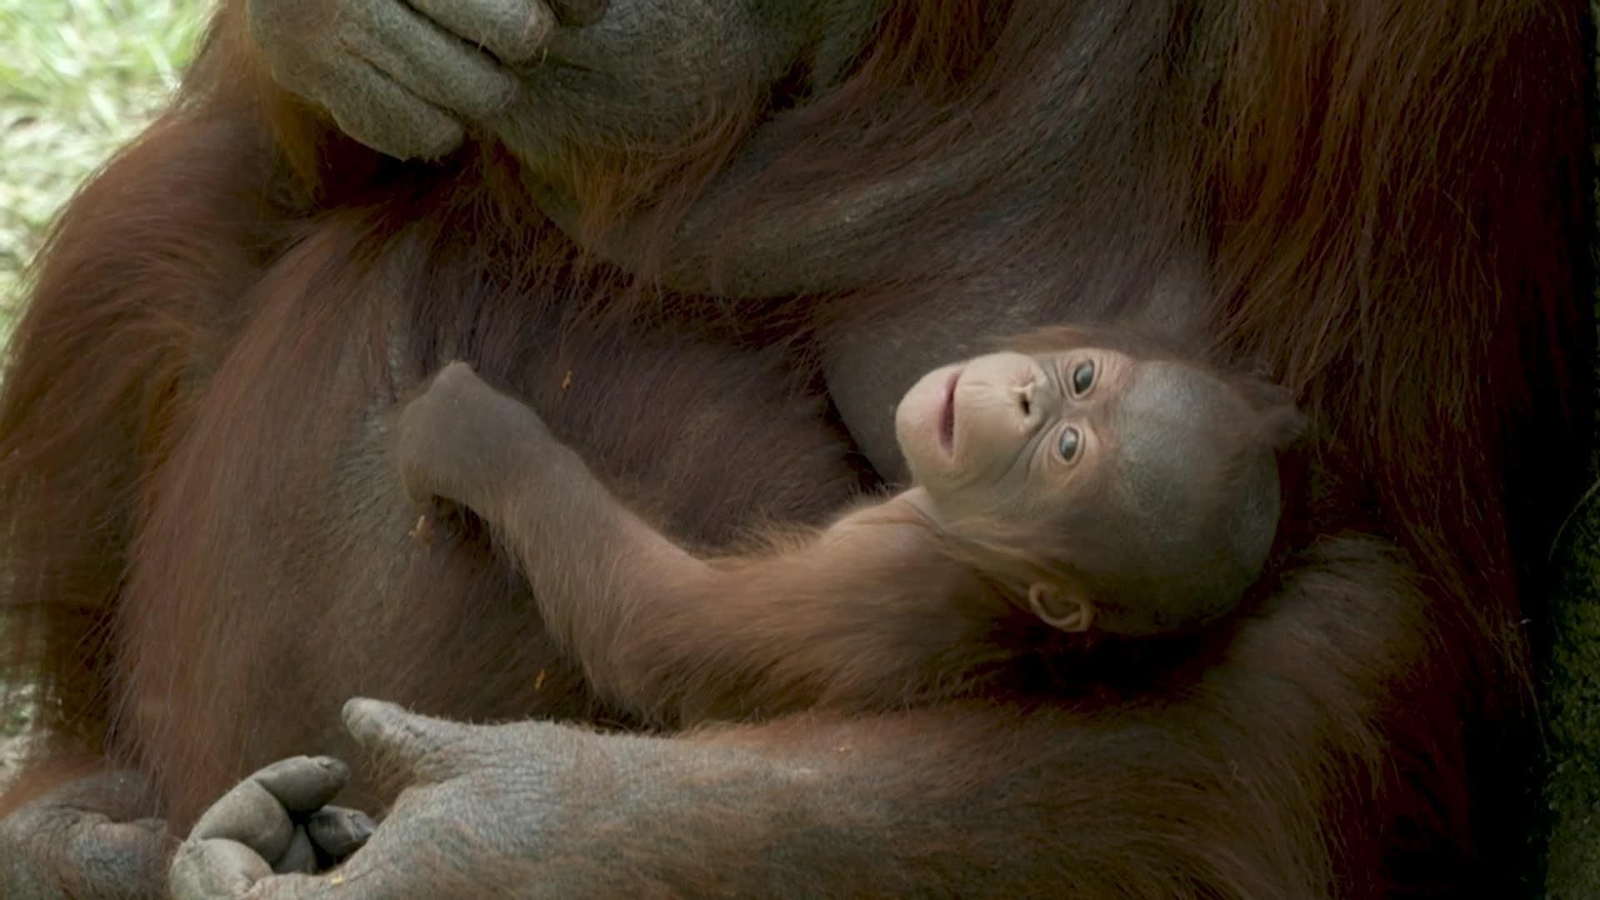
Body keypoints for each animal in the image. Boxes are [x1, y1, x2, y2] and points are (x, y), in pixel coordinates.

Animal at [395, 326, 1304, 723]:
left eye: (1066, 450)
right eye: (1081, 379)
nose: (1027, 396)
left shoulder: (879, 567)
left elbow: (661, 626)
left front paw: (472, 432)